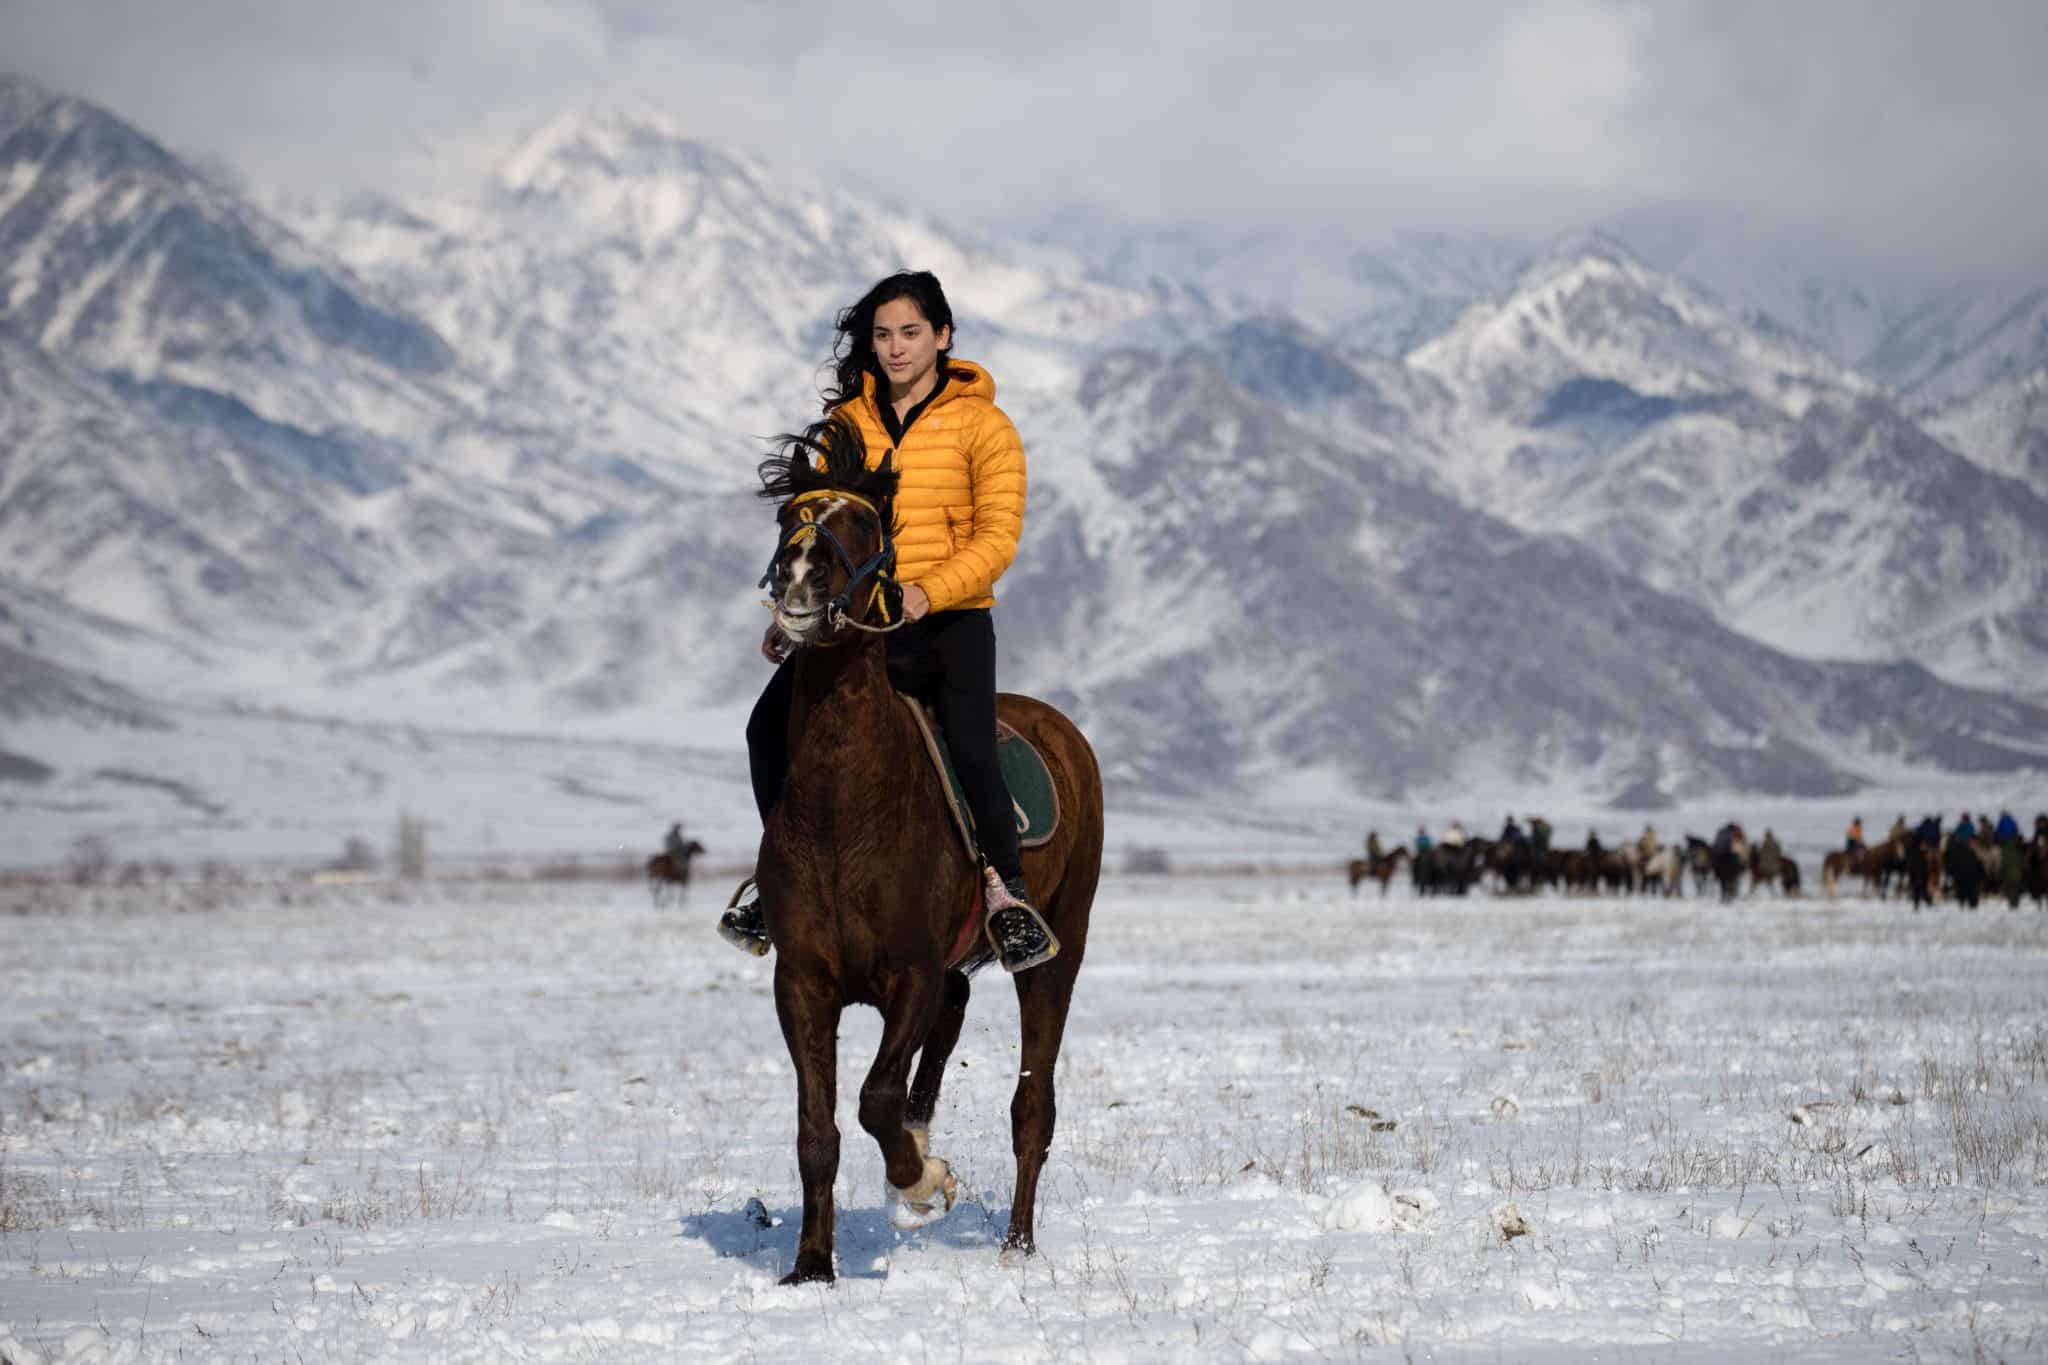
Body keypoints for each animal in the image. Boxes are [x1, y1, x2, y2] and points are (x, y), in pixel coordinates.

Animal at [753, 419, 1105, 1285]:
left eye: (864, 522)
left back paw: (1017, 1244)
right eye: (787, 517)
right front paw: (812, 1266)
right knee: (954, 1015)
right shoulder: (802, 982)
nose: (799, 578)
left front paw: (924, 1179)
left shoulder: (907, 973)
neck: (844, 811)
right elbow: (819, 1131)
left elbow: (875, 1097)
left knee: (1032, 1104)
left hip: (1057, 956)